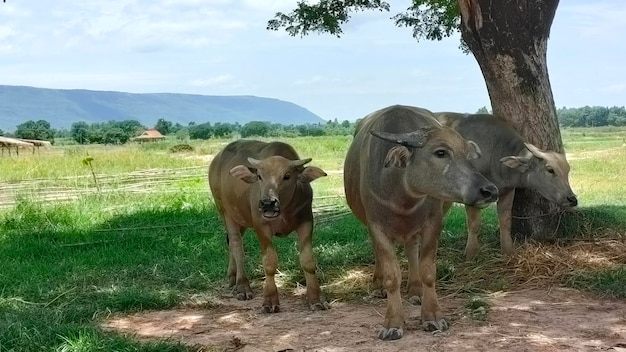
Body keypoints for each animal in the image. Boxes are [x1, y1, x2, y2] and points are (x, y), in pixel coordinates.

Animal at [342, 104, 498, 338]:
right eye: (441, 152)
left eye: (467, 154)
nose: (489, 190)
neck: (401, 195)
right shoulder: (376, 226)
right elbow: (392, 276)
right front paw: (393, 322)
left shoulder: (433, 223)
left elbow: (428, 271)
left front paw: (432, 315)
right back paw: (378, 285)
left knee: (411, 249)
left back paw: (415, 289)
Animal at [434, 111, 576, 260]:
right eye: (550, 169)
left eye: (567, 170)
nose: (572, 199)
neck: (493, 153)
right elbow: (474, 224)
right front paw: (471, 253)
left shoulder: (507, 191)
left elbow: (505, 221)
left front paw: (508, 250)